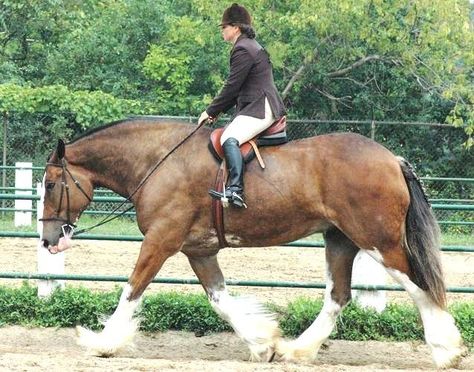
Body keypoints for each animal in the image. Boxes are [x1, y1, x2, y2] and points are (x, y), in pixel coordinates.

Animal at [39, 117, 464, 368]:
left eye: (51, 184)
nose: (48, 240)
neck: (160, 161)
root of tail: (392, 159)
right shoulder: (199, 251)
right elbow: (220, 300)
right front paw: (262, 343)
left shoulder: (160, 242)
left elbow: (131, 289)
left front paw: (103, 342)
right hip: (340, 240)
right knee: (338, 296)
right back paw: (297, 349)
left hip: (378, 242)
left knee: (420, 287)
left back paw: (447, 350)